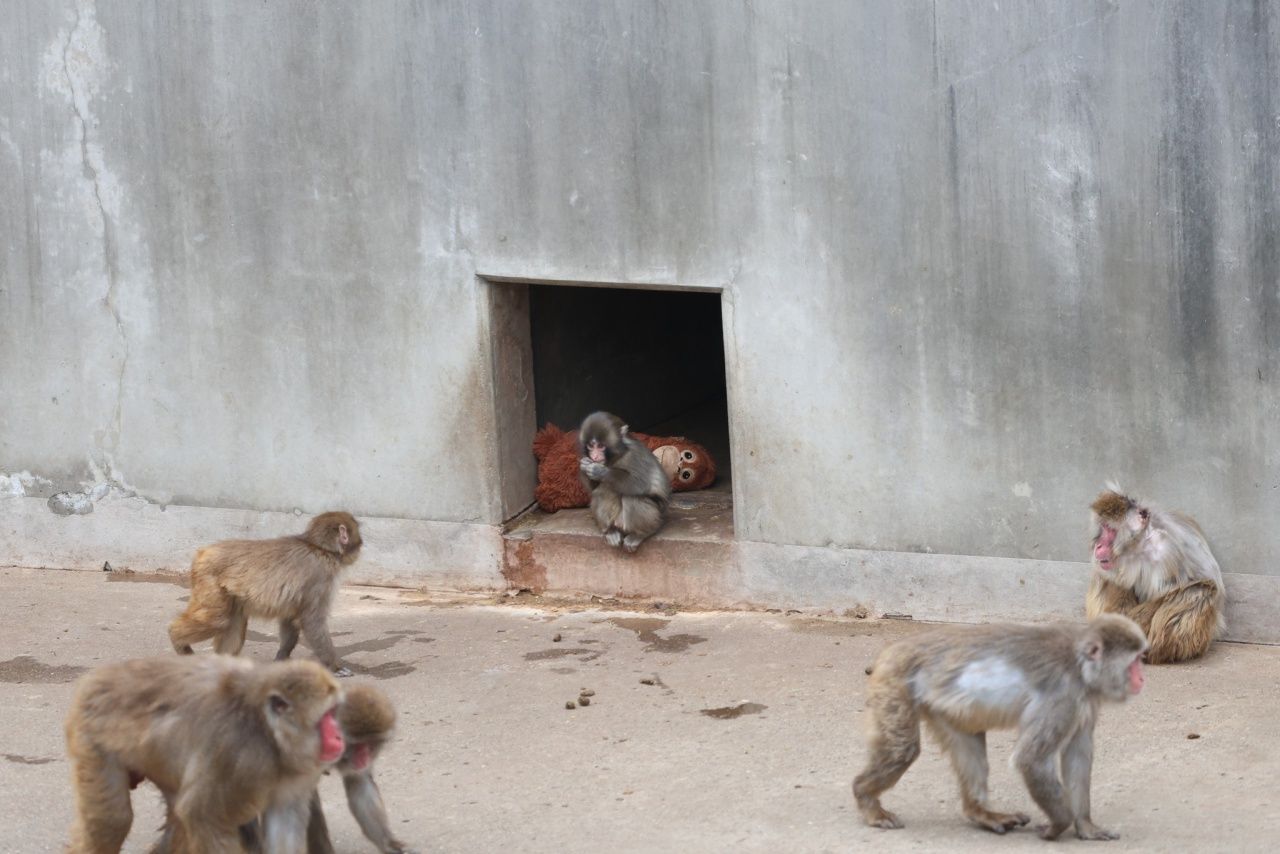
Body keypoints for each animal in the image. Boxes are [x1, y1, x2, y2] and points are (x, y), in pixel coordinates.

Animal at [65, 655, 345, 854]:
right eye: (326, 718)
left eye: (334, 713)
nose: (340, 736)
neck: (267, 730)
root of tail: (96, 677)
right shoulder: (239, 756)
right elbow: (203, 815)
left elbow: (284, 817)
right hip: (91, 738)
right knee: (113, 821)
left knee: (175, 814)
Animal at [169, 511, 363, 676]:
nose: (361, 541)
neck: (320, 548)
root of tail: (203, 553)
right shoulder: (319, 577)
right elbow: (311, 620)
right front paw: (334, 666)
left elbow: (290, 618)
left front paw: (282, 656)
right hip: (209, 581)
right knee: (217, 620)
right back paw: (177, 639)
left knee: (232, 622)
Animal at [577, 411, 671, 553]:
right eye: (590, 446)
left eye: (600, 446)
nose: (594, 456)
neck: (616, 457)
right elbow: (593, 489)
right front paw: (584, 466)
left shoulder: (634, 456)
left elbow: (640, 483)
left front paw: (601, 472)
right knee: (602, 491)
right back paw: (610, 531)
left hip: (657, 517)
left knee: (630, 496)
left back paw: (641, 534)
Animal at [852, 615, 1148, 841]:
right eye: (1135, 662)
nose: (1142, 677)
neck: (1080, 667)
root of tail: (891, 651)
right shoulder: (1062, 697)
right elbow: (1032, 758)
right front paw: (1059, 825)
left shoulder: (1083, 702)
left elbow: (1077, 757)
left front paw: (1085, 825)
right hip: (894, 682)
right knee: (902, 749)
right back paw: (865, 797)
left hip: (942, 708)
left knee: (967, 742)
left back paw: (980, 812)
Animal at [1087, 486, 1225, 664]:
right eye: (1102, 527)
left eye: (1109, 529)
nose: (1098, 545)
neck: (1141, 544)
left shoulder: (1167, 552)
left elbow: (1176, 589)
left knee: (1200, 591)